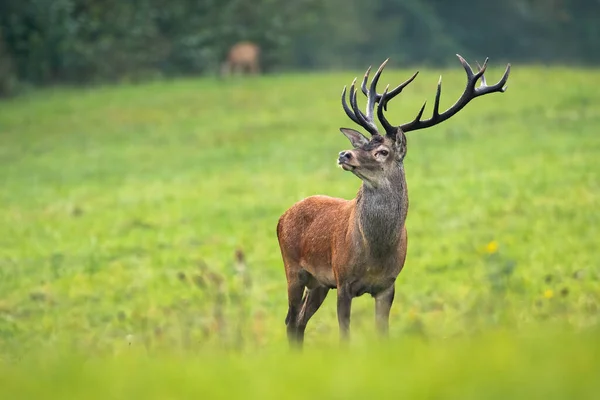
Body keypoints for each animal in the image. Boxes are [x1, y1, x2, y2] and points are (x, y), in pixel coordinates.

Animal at [276, 54, 510, 348]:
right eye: (362, 145)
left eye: (382, 151)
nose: (344, 154)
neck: (375, 252)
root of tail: (283, 216)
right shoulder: (343, 280)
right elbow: (345, 336)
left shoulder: (388, 285)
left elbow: (382, 334)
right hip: (293, 268)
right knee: (290, 320)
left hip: (319, 283)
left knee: (299, 322)